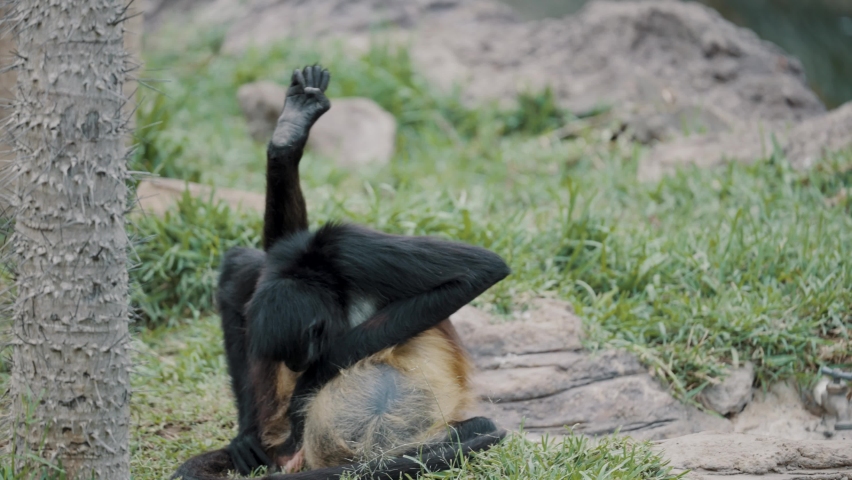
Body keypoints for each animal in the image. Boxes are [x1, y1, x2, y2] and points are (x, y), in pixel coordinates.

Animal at [170, 64, 510, 480]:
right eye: (293, 355)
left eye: (307, 347)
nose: (296, 367)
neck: (325, 274)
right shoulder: (288, 257)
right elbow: (253, 262)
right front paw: (288, 140)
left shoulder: (350, 249)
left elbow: (480, 270)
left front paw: (312, 380)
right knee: (241, 269)